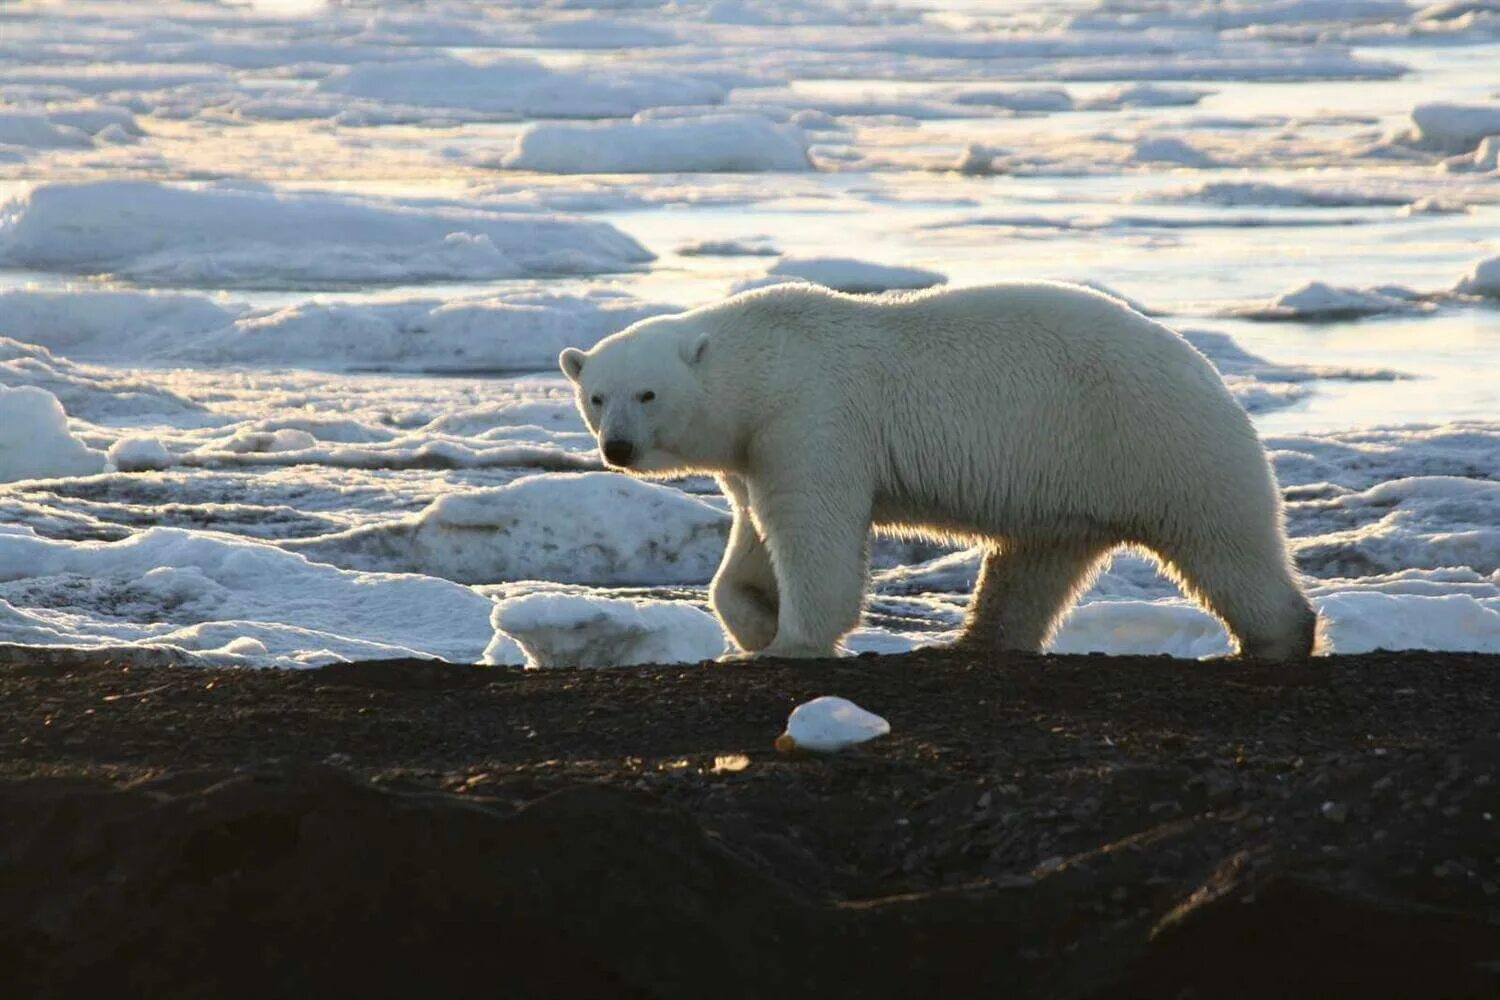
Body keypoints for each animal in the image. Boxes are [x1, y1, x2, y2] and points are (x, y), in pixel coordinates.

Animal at [558, 277, 1320, 659]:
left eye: (647, 393)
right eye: (596, 396)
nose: (618, 448)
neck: (762, 358)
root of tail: (1206, 370)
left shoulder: (812, 414)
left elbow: (812, 530)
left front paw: (793, 642)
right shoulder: (754, 449)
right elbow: (754, 534)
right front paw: (752, 623)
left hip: (1156, 442)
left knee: (1224, 542)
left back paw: (1277, 637)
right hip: (1074, 478)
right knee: (1036, 561)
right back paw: (972, 643)